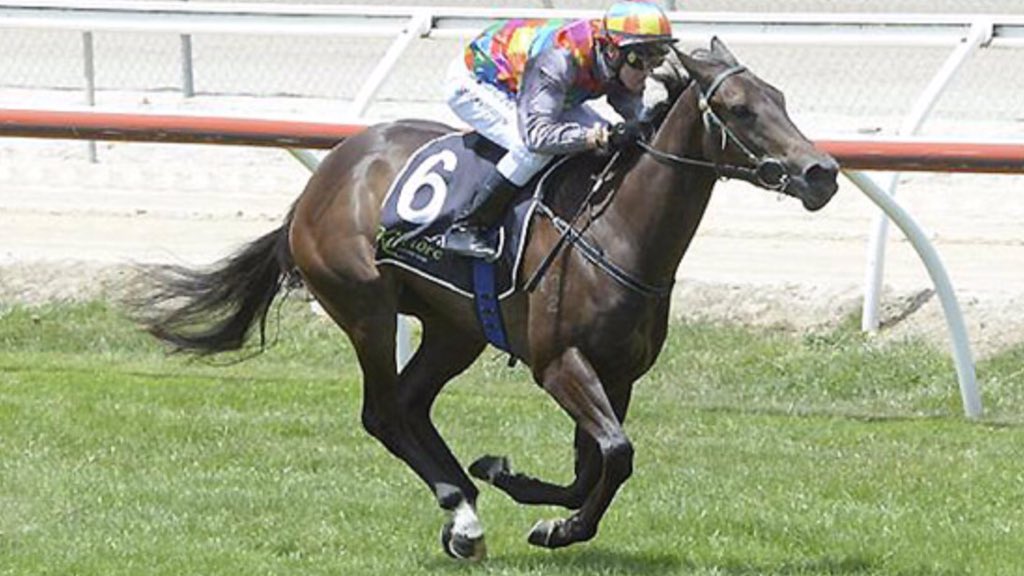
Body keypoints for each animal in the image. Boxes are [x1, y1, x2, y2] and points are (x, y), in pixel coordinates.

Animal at [135, 38, 838, 560]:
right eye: (741, 109)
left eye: (781, 98)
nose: (822, 173)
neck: (617, 231)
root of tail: (323, 180)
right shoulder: (558, 363)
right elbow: (616, 454)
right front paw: (546, 514)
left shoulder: (619, 373)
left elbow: (598, 464)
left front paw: (526, 493)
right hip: (366, 306)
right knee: (383, 413)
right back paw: (462, 512)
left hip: (457, 328)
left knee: (411, 406)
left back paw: (464, 512)